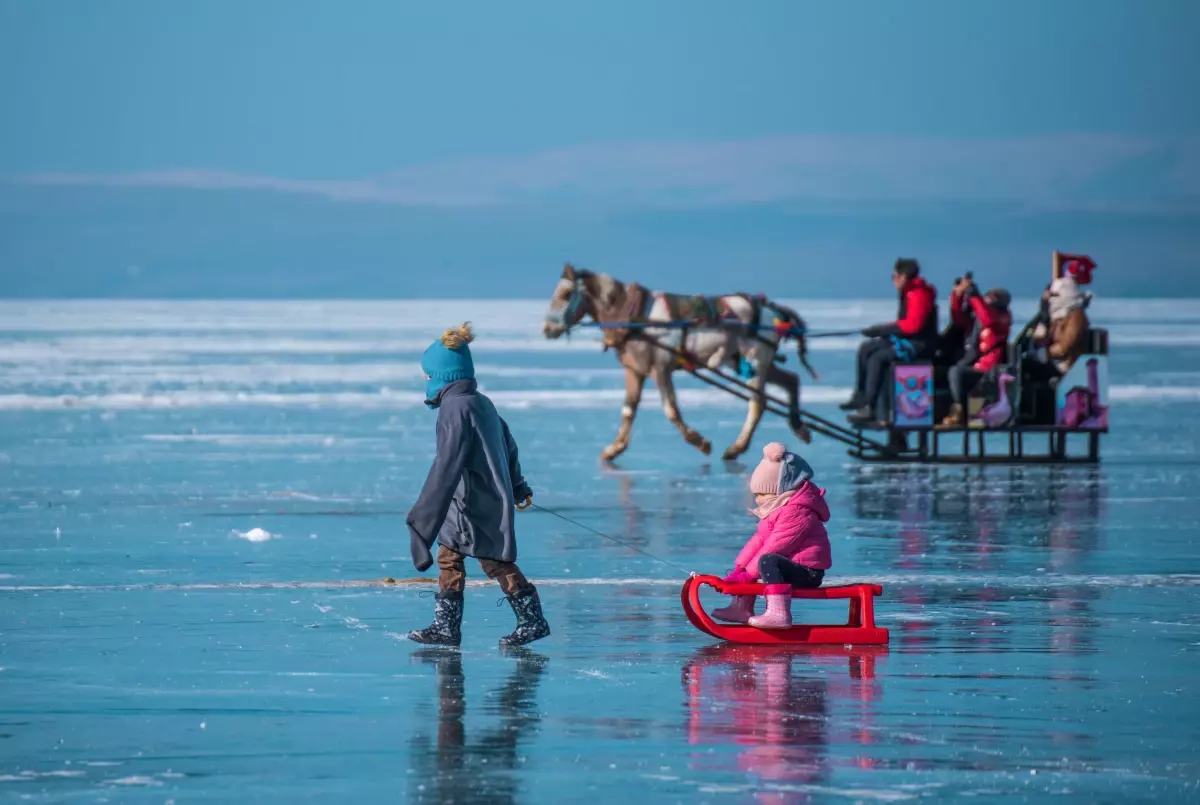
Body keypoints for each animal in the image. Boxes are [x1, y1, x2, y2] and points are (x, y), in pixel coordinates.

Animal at [542, 263, 816, 463]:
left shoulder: (660, 368)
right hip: (758, 361)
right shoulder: (635, 369)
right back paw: (798, 426)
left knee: (758, 402)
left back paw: (737, 447)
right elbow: (629, 409)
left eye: (566, 294)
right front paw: (614, 448)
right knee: (791, 380)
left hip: (755, 359)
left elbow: (671, 410)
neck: (633, 316)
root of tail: (772, 310)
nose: (547, 329)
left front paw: (699, 441)